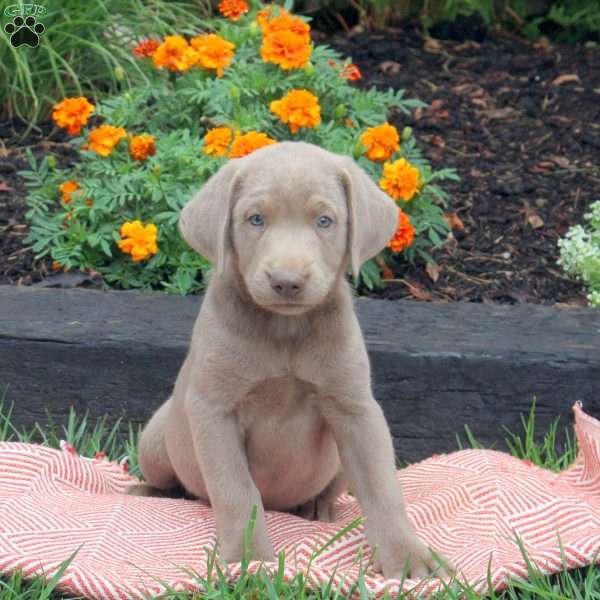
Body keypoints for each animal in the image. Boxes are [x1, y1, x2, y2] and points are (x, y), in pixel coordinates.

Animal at [130, 142, 450, 580]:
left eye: (325, 220)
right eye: (255, 219)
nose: (287, 282)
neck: (285, 330)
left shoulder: (356, 409)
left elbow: (382, 488)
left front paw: (408, 558)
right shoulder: (213, 409)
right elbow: (236, 491)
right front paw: (248, 558)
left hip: (336, 463)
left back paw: (316, 508)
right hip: (157, 438)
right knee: (172, 482)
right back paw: (148, 492)